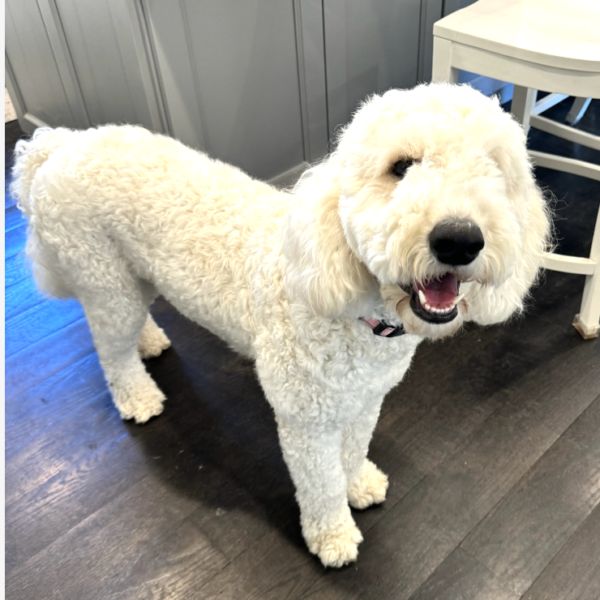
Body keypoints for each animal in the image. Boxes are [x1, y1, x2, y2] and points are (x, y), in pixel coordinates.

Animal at [11, 83, 552, 568]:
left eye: (495, 170)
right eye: (400, 167)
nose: (459, 239)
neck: (359, 315)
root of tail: (56, 145)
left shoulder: (364, 402)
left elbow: (353, 452)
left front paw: (359, 483)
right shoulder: (306, 420)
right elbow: (322, 483)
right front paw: (333, 537)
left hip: (134, 275)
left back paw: (149, 342)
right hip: (104, 278)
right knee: (111, 351)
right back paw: (138, 396)